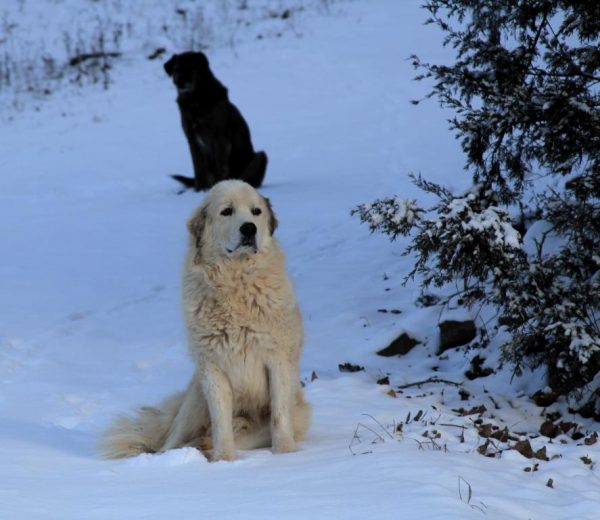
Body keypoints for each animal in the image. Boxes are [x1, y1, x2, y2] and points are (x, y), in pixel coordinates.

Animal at [102, 181, 310, 462]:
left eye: (256, 212)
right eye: (227, 211)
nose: (249, 228)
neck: (235, 282)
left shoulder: (277, 360)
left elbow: (279, 416)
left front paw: (285, 455)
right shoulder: (213, 368)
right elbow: (221, 422)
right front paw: (224, 461)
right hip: (194, 403)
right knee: (170, 440)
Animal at [164, 51, 268, 191]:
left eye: (191, 68)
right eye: (176, 69)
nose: (179, 83)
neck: (195, 100)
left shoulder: (220, 138)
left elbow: (220, 167)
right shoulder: (192, 140)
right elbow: (199, 169)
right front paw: (199, 190)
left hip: (260, 156)